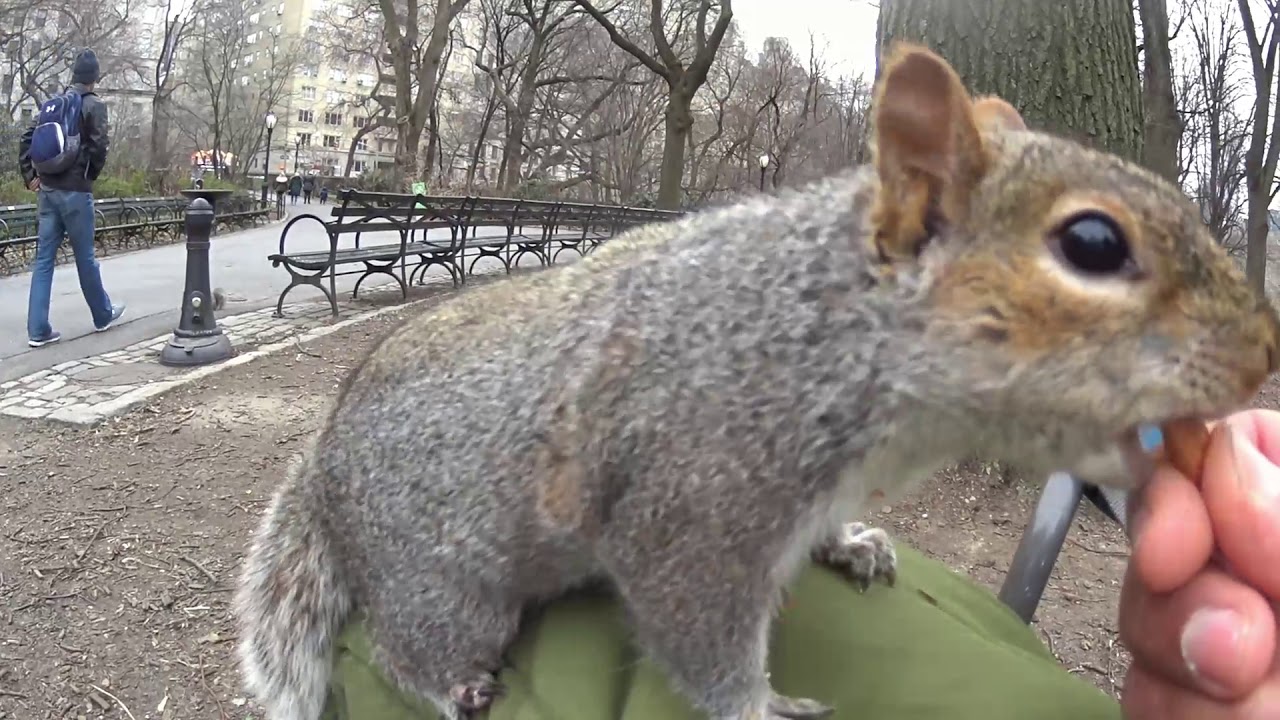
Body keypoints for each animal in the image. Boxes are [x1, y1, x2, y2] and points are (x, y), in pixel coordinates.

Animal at [234, 42, 1280, 720]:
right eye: (1093, 244)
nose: (1264, 355)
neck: (827, 323)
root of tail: (324, 468)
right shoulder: (700, 497)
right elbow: (695, 623)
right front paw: (760, 707)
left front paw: (851, 544)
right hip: (447, 581)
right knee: (410, 642)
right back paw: (449, 682)